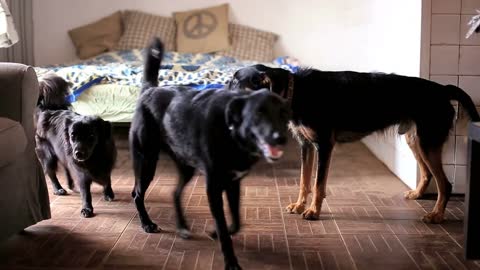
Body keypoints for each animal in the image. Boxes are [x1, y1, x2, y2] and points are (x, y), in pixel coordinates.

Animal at [34, 73, 116, 217]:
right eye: (72, 136)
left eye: (91, 136)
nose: (78, 153)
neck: (94, 156)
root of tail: (47, 108)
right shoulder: (81, 172)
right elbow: (86, 192)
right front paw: (87, 208)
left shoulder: (106, 163)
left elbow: (107, 179)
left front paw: (108, 193)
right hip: (48, 155)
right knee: (51, 172)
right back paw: (58, 189)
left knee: (66, 167)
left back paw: (71, 184)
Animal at [129, 38, 290, 270]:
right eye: (259, 114)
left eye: (284, 114)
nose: (281, 138)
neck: (231, 128)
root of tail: (149, 90)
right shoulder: (213, 188)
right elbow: (223, 228)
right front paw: (231, 262)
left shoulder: (233, 182)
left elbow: (236, 220)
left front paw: (218, 233)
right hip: (147, 160)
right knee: (137, 193)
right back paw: (147, 224)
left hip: (185, 165)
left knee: (175, 192)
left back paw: (182, 226)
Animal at [230, 63, 480, 224]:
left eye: (237, 86)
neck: (297, 91)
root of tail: (443, 89)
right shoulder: (306, 145)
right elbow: (304, 180)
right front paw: (300, 205)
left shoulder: (324, 145)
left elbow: (318, 184)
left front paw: (313, 211)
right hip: (416, 139)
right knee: (427, 174)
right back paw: (418, 194)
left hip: (428, 141)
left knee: (445, 184)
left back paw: (436, 215)